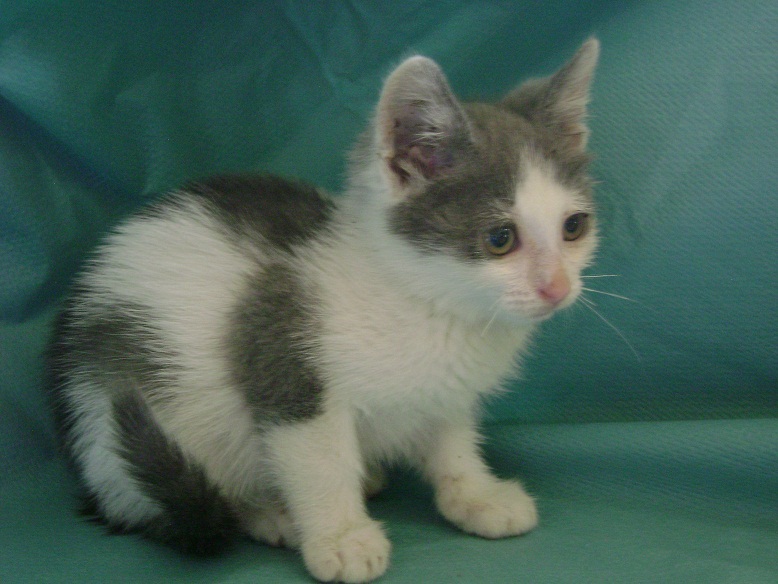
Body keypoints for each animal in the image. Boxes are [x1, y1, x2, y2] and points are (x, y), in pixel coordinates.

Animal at [50, 38, 600, 583]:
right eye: (500, 238)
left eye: (573, 227)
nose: (557, 287)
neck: (427, 303)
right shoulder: (281, 352)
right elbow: (320, 461)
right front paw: (340, 536)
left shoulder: (447, 391)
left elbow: (452, 440)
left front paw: (474, 494)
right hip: (142, 411)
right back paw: (267, 511)